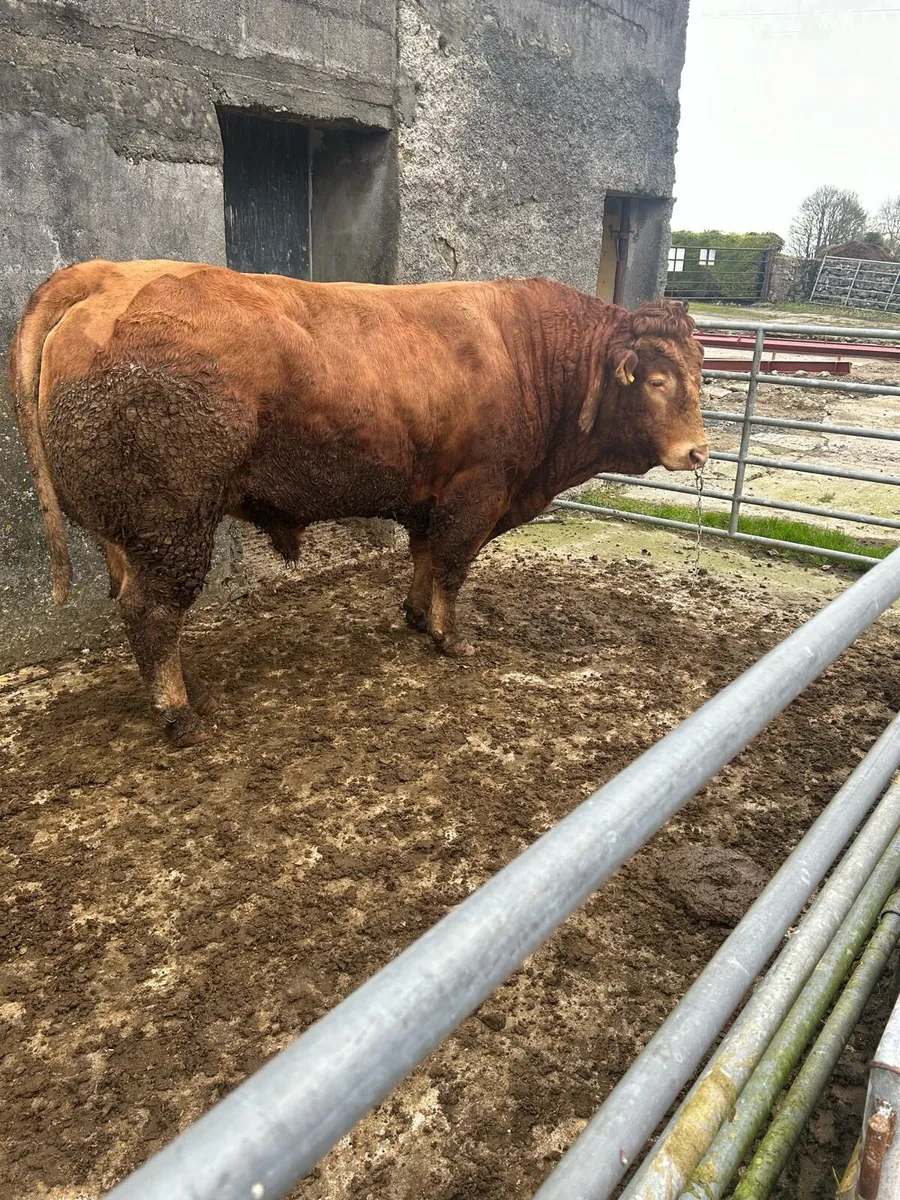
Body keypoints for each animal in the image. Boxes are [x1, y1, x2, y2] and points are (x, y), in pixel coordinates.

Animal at [9, 260, 707, 746]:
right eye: (656, 378)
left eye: (701, 375)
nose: (699, 452)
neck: (530, 353)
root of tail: (107, 274)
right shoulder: (476, 493)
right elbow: (452, 566)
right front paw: (452, 639)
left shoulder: (432, 496)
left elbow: (423, 557)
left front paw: (417, 616)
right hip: (172, 524)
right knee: (150, 614)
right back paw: (181, 715)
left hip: (132, 534)